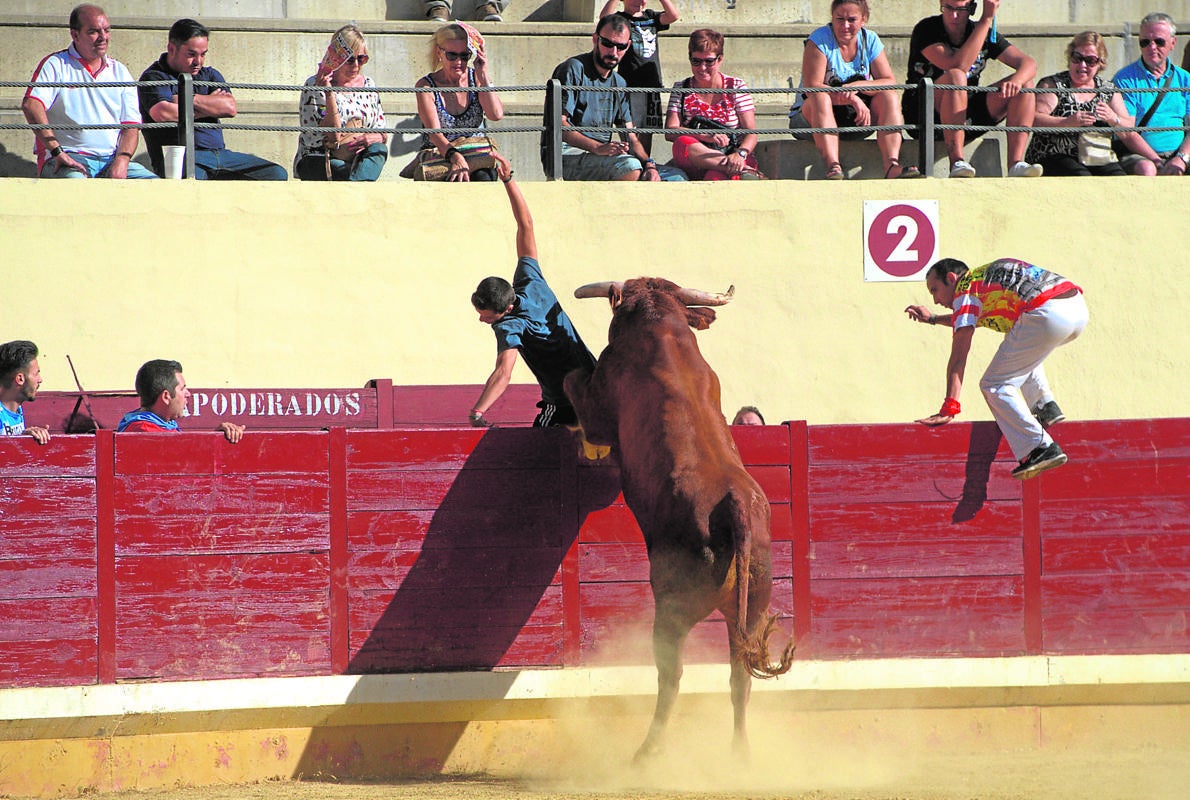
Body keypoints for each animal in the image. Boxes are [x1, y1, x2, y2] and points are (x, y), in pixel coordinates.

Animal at [561, 278, 794, 757]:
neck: (663, 328)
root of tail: (734, 506)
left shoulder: (600, 406)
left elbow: (573, 379)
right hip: (754, 607)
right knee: (739, 677)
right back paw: (740, 754)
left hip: (671, 612)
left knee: (671, 678)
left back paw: (645, 754)